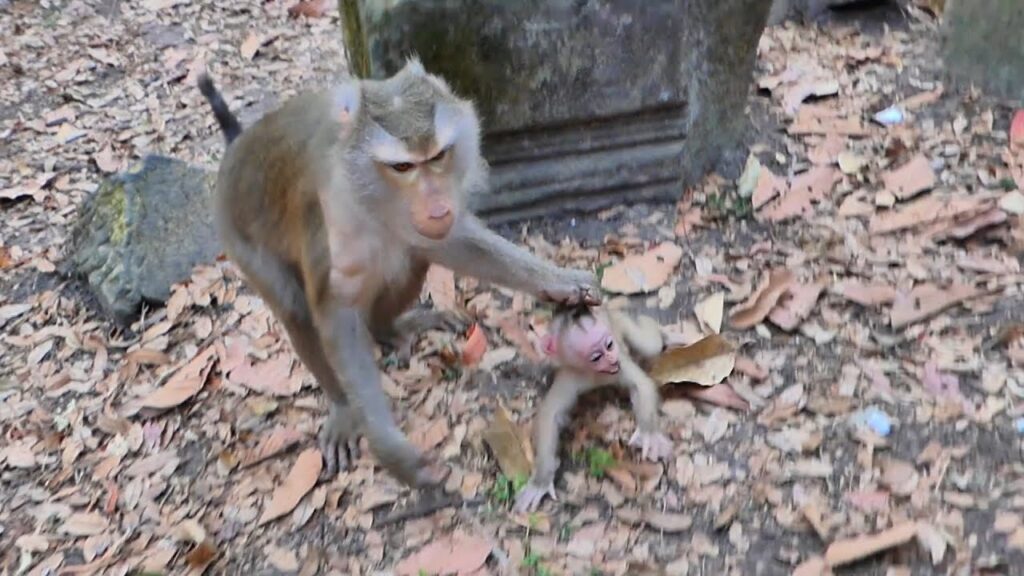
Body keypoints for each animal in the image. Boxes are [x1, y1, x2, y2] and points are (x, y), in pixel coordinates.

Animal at [197, 60, 600, 490]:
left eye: (437, 156)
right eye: (403, 166)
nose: (437, 207)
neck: (375, 200)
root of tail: (238, 145)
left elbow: (448, 244)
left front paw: (559, 281)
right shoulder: (332, 218)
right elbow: (335, 315)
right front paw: (387, 445)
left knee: (412, 256)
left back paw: (390, 327)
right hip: (238, 235)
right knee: (296, 309)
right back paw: (344, 405)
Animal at [513, 304, 673, 513]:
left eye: (609, 345)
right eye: (596, 356)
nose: (611, 357)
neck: (595, 374)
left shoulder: (619, 364)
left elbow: (642, 385)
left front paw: (649, 434)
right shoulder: (571, 375)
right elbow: (549, 414)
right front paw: (541, 480)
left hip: (617, 320)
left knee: (650, 345)